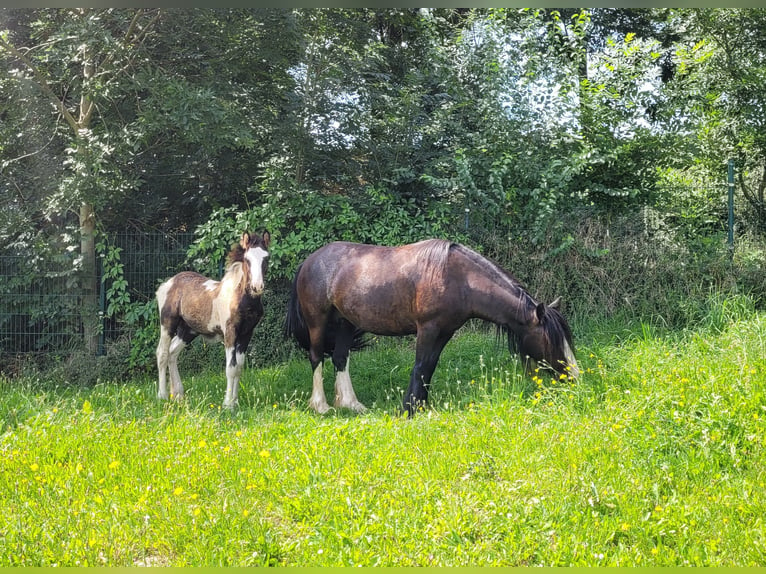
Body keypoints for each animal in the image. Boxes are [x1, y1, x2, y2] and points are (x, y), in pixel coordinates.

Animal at [154, 231, 272, 410]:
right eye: (247, 259)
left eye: (266, 258)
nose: (257, 287)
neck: (241, 299)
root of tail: (168, 283)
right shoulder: (230, 333)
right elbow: (231, 368)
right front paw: (227, 404)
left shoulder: (246, 334)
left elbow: (239, 367)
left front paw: (235, 401)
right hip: (167, 324)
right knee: (162, 353)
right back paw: (162, 395)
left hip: (188, 330)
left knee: (172, 352)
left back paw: (179, 394)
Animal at [284, 238, 580, 418]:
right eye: (552, 341)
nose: (575, 377)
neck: (458, 278)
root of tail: (309, 261)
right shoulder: (427, 328)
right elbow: (420, 366)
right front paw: (408, 409)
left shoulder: (444, 331)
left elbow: (429, 367)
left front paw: (420, 404)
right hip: (318, 321)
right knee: (316, 356)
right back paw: (321, 406)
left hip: (346, 323)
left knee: (340, 357)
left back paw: (351, 404)